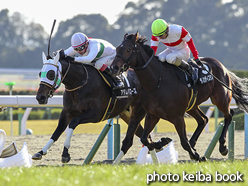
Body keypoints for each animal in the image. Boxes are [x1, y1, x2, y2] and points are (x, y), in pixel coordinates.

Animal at [111, 32, 248, 162]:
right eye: (117, 49)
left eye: (128, 50)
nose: (113, 67)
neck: (157, 82)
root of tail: (221, 66)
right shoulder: (153, 115)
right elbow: (145, 139)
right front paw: (165, 141)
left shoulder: (177, 117)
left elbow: (184, 142)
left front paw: (198, 156)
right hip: (192, 105)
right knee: (203, 120)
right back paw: (195, 143)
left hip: (220, 98)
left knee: (229, 115)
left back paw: (223, 147)